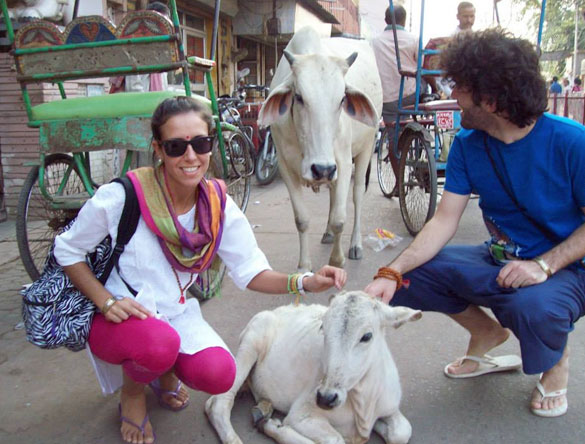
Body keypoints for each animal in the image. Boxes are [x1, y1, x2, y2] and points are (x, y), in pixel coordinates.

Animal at [205, 292, 420, 444]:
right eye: (323, 328)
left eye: (367, 336)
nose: (326, 397)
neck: (363, 404)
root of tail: (275, 311)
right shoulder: (300, 414)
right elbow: (335, 440)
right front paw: (274, 428)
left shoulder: (390, 407)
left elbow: (402, 432)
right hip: (251, 342)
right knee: (217, 405)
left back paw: (263, 408)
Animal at [260, 28, 384, 270]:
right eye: (298, 97)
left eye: (342, 99)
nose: (322, 169)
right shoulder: (286, 167)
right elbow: (302, 220)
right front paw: (304, 267)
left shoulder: (342, 163)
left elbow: (340, 219)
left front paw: (336, 261)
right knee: (333, 196)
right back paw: (327, 233)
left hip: (366, 147)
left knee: (356, 196)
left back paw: (355, 244)